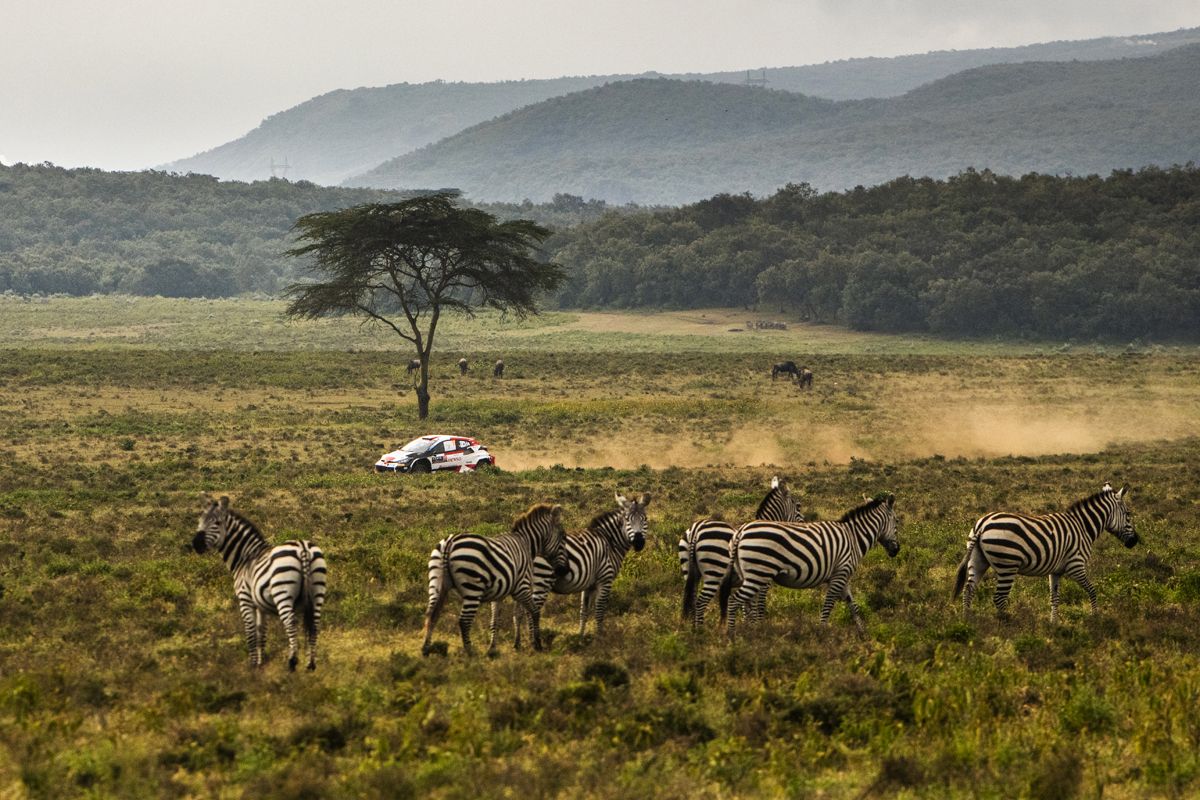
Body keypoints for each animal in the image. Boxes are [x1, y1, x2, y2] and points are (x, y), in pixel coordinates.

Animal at [189, 496, 326, 671]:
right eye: (200, 521)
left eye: (217, 523)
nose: (196, 544)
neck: (245, 557)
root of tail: (302, 547)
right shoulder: (261, 605)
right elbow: (261, 632)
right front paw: (261, 663)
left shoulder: (245, 599)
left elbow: (251, 632)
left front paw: (252, 665)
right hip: (317, 591)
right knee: (314, 625)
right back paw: (311, 664)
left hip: (282, 592)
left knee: (291, 622)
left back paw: (292, 661)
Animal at [424, 503, 568, 662]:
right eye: (563, 536)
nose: (564, 570)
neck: (526, 543)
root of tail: (449, 542)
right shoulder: (522, 587)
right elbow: (534, 612)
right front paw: (537, 644)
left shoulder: (499, 592)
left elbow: (496, 621)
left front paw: (492, 649)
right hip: (473, 589)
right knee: (464, 621)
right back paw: (470, 652)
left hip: (435, 581)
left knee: (431, 614)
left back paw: (426, 650)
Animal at [523, 491, 657, 642]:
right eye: (627, 519)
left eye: (645, 519)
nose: (639, 543)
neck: (610, 541)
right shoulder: (605, 579)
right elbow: (599, 611)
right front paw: (599, 638)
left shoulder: (588, 584)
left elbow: (584, 611)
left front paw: (580, 637)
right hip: (542, 580)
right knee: (531, 610)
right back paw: (534, 640)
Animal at [715, 494, 897, 638]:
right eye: (897, 522)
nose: (897, 550)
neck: (854, 537)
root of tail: (740, 532)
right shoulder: (840, 575)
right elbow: (828, 605)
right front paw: (822, 632)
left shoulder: (843, 577)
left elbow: (854, 606)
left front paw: (863, 633)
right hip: (759, 573)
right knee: (734, 600)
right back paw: (732, 636)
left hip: (749, 574)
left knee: (744, 602)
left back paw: (748, 632)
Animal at [950, 482, 1137, 623]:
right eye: (1128, 514)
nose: (1135, 541)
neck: (1083, 527)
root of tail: (982, 525)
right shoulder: (1075, 566)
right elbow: (1092, 590)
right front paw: (1096, 617)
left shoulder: (1055, 571)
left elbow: (1054, 598)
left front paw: (1054, 623)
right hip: (1007, 565)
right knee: (999, 598)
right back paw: (1007, 624)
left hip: (978, 560)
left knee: (968, 590)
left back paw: (967, 621)